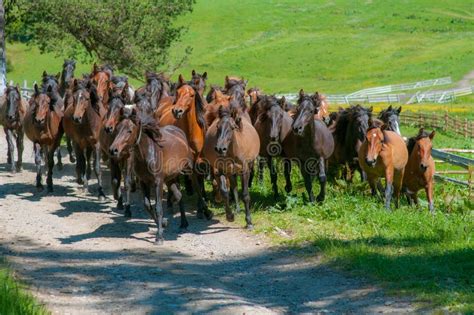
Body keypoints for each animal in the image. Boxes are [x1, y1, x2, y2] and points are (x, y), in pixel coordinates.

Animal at [109, 110, 194, 246]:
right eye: (117, 129)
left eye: (129, 131)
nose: (113, 150)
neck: (147, 153)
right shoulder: (144, 182)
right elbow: (147, 205)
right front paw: (163, 223)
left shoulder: (158, 182)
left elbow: (158, 208)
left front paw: (159, 237)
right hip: (170, 179)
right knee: (179, 195)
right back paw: (183, 223)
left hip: (186, 170)